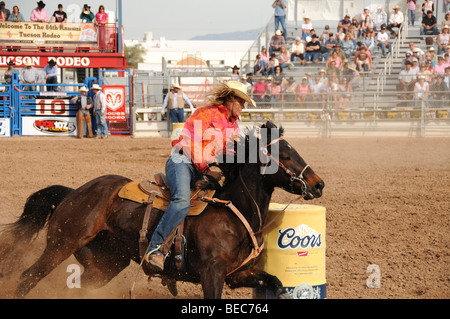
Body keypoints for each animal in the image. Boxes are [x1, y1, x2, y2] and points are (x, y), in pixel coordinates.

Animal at [0, 122, 324, 300]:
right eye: (285, 155)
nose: (318, 184)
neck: (231, 215)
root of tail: (75, 192)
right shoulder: (211, 273)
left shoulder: (238, 274)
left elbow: (276, 282)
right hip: (61, 244)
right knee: (28, 277)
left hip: (105, 265)